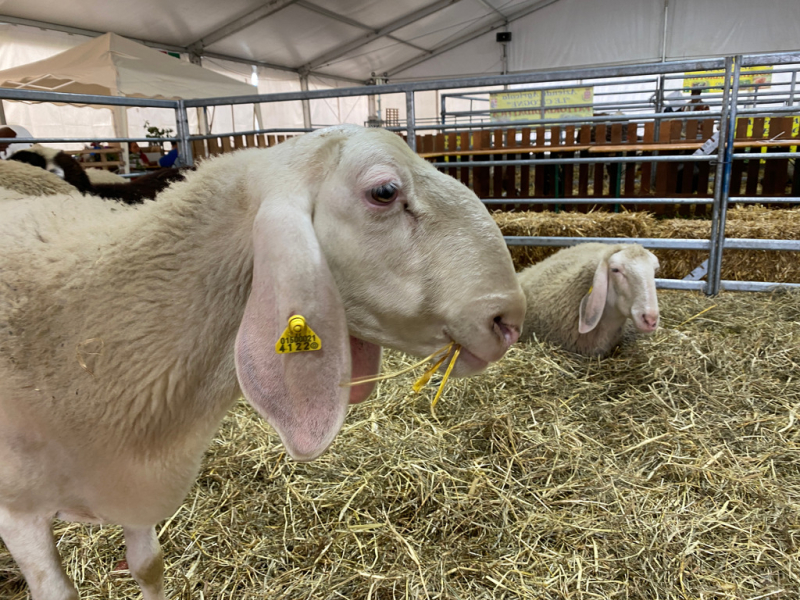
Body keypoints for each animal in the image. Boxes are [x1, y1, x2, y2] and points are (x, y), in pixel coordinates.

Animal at [0, 125, 524, 600]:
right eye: (384, 192)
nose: (508, 321)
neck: (89, 347)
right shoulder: (18, 510)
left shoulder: (136, 486)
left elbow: (149, 567)